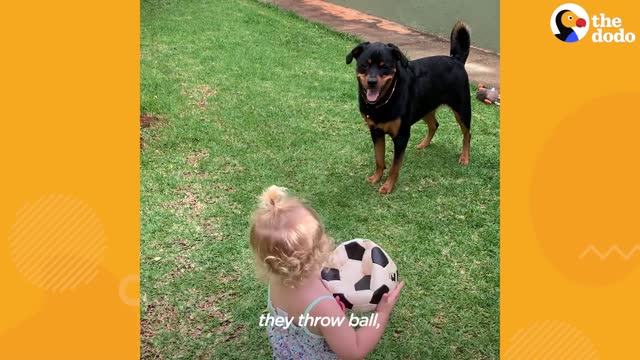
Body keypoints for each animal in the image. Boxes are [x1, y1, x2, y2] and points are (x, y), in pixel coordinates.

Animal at [348, 20, 472, 193]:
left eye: (384, 66)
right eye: (364, 65)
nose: (372, 82)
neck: (382, 102)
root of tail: (457, 60)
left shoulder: (401, 136)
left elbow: (394, 167)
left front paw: (387, 186)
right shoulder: (375, 132)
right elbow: (379, 159)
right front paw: (376, 177)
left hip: (462, 109)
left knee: (467, 134)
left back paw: (465, 157)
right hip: (425, 107)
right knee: (434, 125)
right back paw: (424, 144)